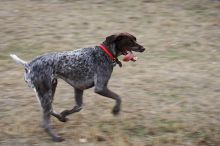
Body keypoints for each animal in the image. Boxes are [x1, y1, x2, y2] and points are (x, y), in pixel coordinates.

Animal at [9, 32, 144, 142]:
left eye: (135, 39)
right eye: (130, 41)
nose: (143, 48)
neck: (106, 52)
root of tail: (28, 65)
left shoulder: (79, 88)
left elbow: (77, 107)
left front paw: (64, 114)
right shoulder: (100, 87)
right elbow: (118, 97)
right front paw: (116, 110)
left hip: (50, 89)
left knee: (50, 109)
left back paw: (61, 118)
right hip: (46, 92)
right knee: (45, 122)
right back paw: (56, 138)